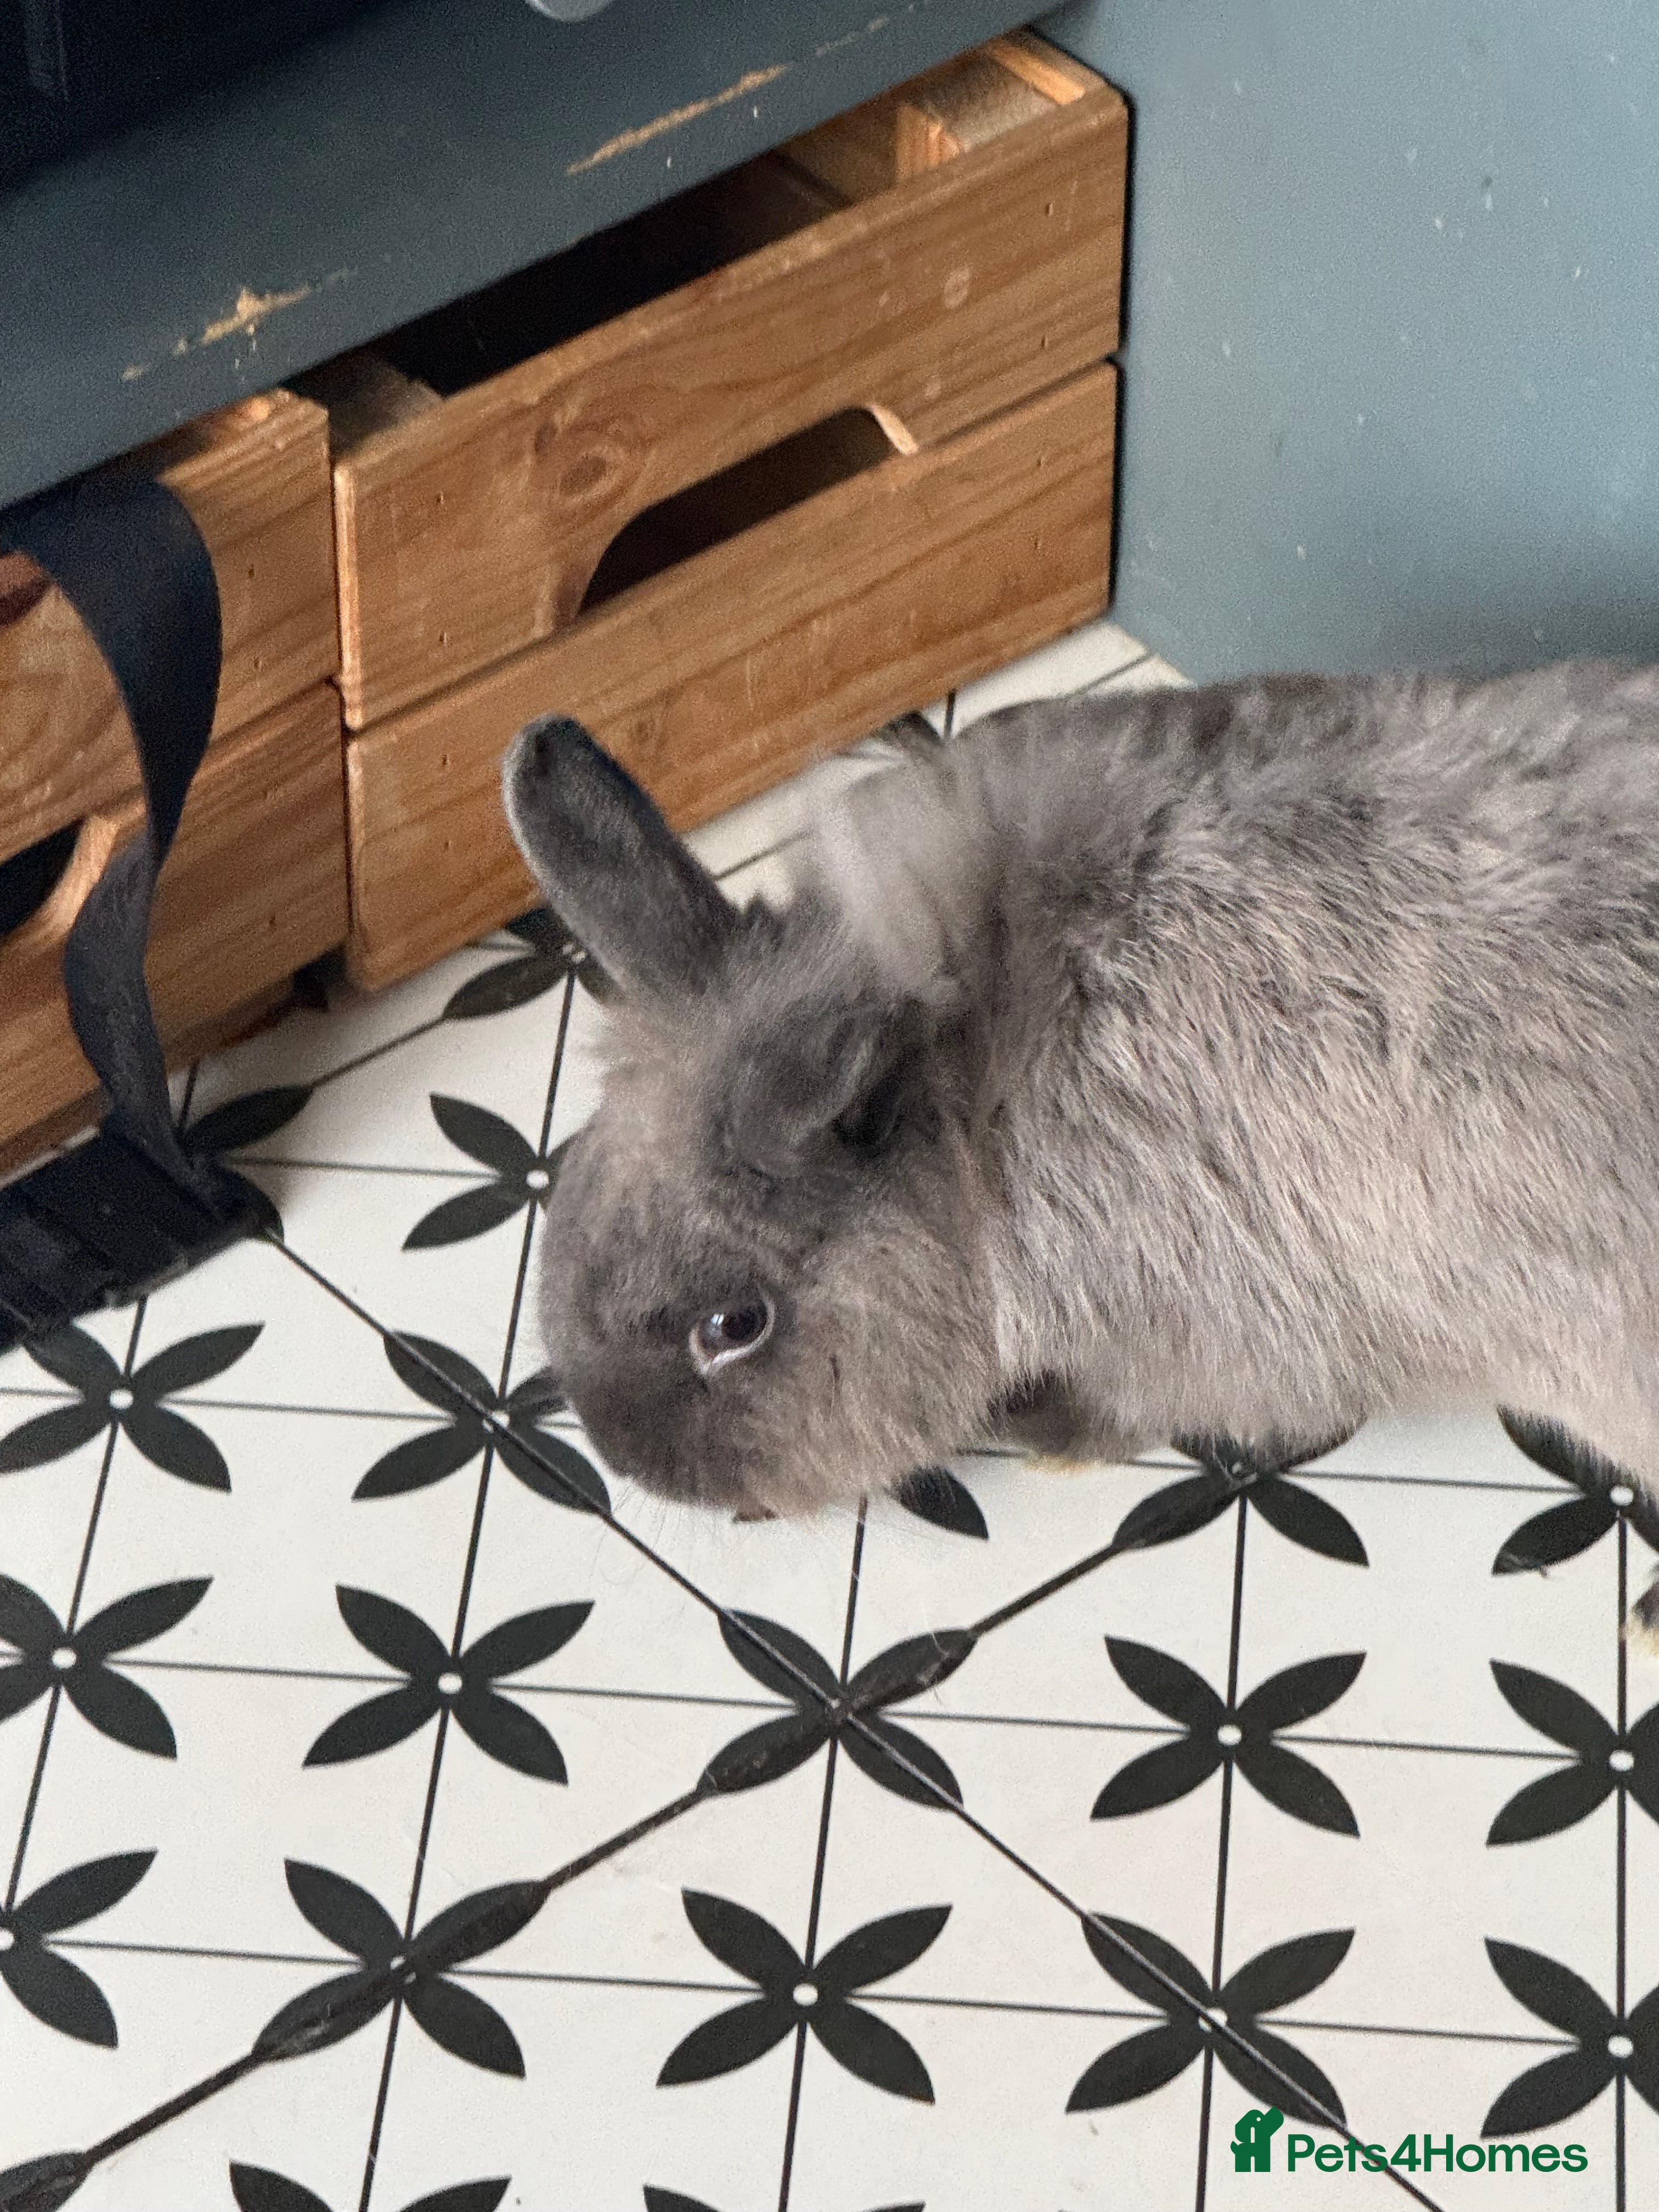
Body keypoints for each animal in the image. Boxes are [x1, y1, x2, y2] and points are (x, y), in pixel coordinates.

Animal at [501, 663, 1659, 1629]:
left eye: (734, 1325)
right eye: (571, 1188)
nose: (635, 1465)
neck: (977, 1132)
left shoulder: (1204, 1331)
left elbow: (1145, 1408)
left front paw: (1043, 1434)